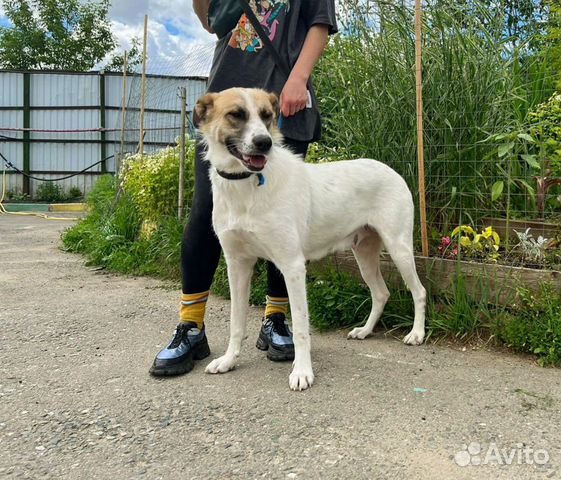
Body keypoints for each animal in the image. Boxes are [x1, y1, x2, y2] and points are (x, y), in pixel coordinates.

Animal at [194, 89, 424, 390]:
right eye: (236, 114)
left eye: (267, 115)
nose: (264, 143)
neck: (246, 186)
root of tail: (389, 169)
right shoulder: (238, 264)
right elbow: (236, 321)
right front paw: (229, 360)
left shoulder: (292, 265)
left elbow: (302, 327)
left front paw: (302, 372)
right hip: (363, 254)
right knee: (381, 292)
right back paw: (364, 331)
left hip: (399, 248)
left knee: (419, 291)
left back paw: (417, 334)